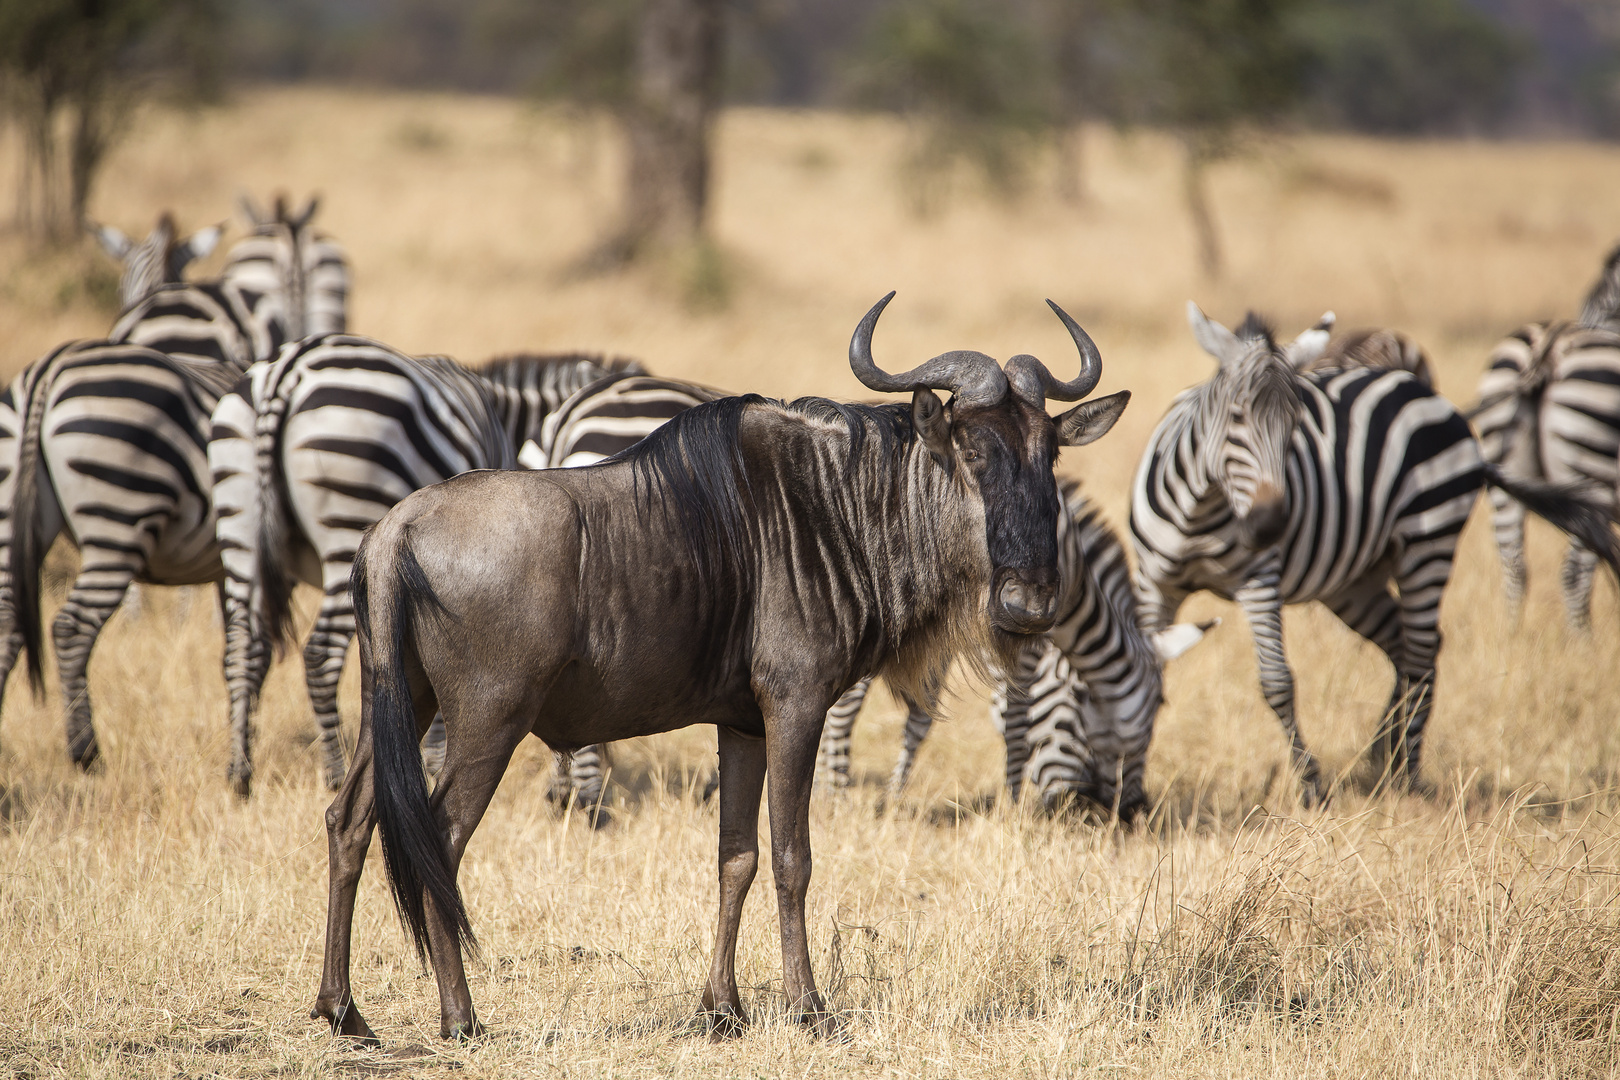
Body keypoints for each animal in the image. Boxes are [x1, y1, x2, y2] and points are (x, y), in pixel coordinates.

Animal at [210, 341, 683, 799]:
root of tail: (286, 371)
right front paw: (436, 762)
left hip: (241, 527)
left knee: (242, 648)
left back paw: (240, 775)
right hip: (348, 521)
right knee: (320, 655)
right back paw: (334, 772)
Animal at [816, 482, 1211, 819]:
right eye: (1156, 709)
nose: (1132, 812)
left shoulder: (941, 638)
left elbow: (920, 719)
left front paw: (890, 797)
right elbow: (1016, 719)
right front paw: (1012, 809)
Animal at [1127, 304, 1620, 803]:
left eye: (1295, 425)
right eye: (1235, 418)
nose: (1271, 526)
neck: (1201, 510)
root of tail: (1426, 393)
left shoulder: (1259, 581)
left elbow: (1277, 682)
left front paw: (1310, 786)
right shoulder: (1153, 584)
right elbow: (1147, 672)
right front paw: (1134, 778)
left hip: (1429, 542)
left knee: (1421, 653)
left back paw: (1408, 774)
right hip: (1355, 582)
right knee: (1405, 645)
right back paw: (1382, 754)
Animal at [1477, 246, 1620, 628]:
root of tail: (1548, 350)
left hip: (1504, 465)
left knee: (1514, 569)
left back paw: (1511, 637)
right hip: (1592, 473)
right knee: (1575, 575)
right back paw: (1582, 644)